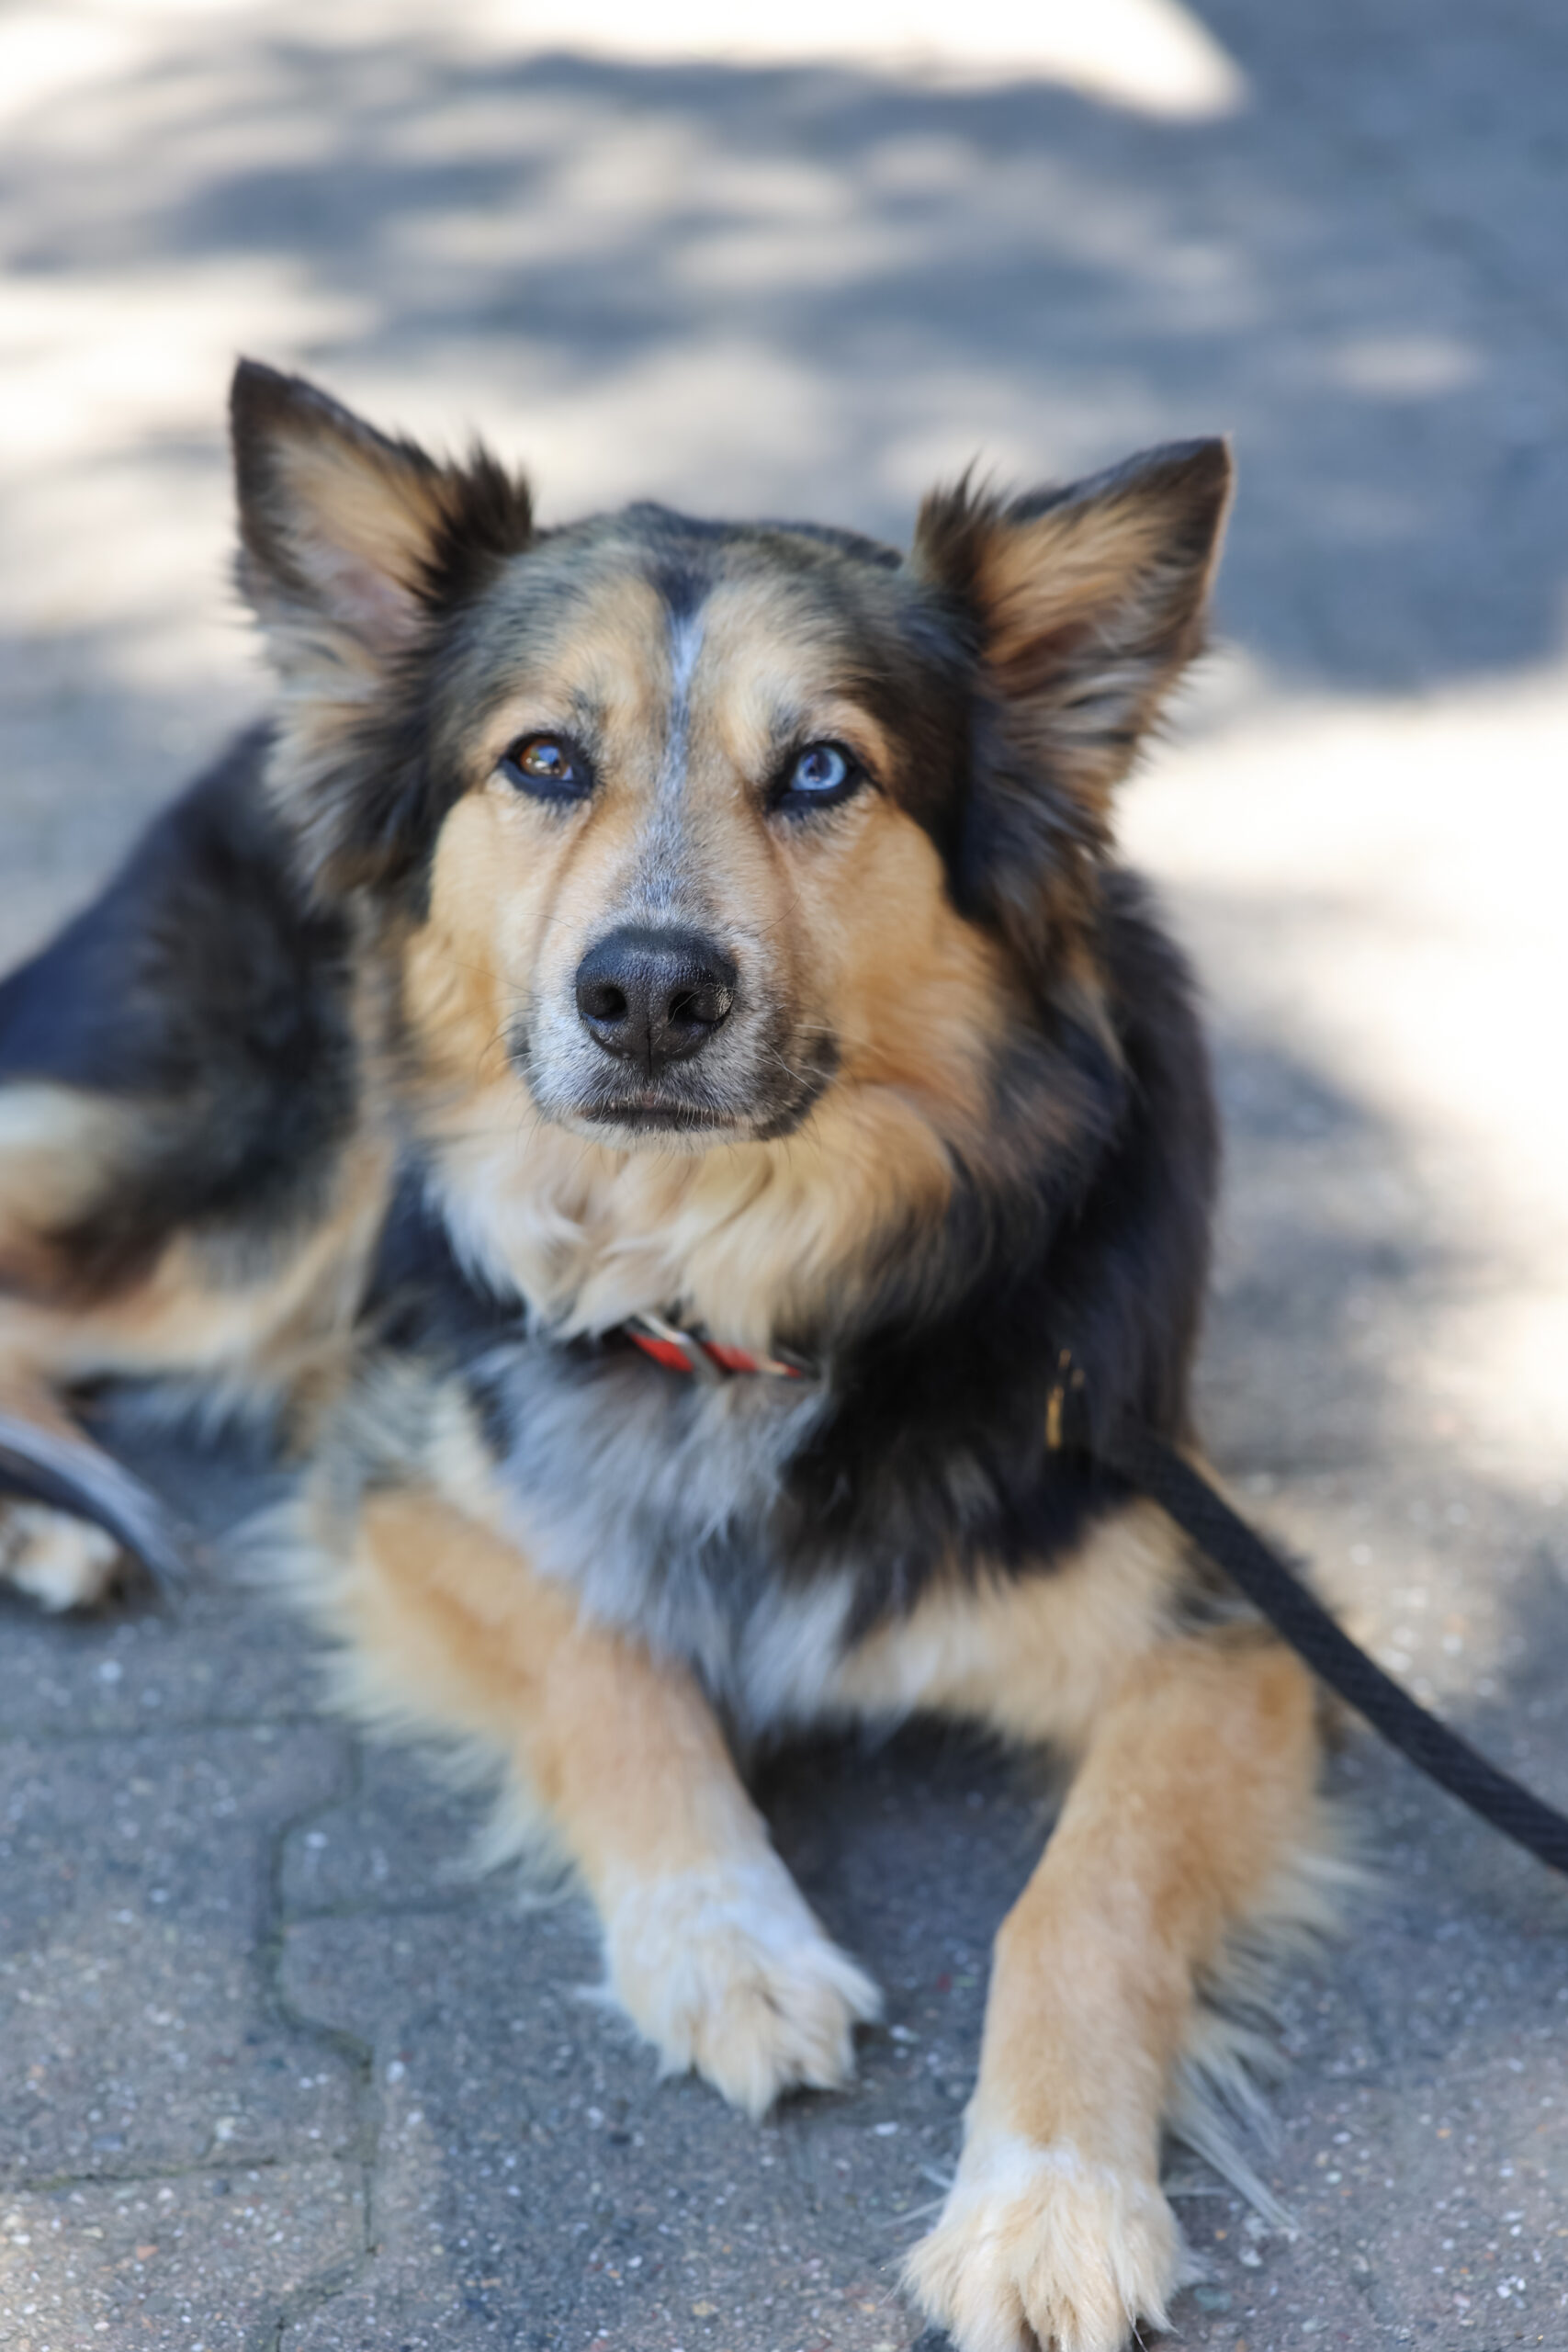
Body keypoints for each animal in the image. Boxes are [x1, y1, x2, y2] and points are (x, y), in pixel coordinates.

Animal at [0, 362, 1341, 2352]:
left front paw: (1048, 2199)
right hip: (268, 1184)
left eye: (824, 770)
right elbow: (608, 1662)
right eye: (545, 760)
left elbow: (1078, 1893)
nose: (645, 992)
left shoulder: (1222, 1622)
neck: (725, 1286)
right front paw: (729, 1942)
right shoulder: (397, 1472)